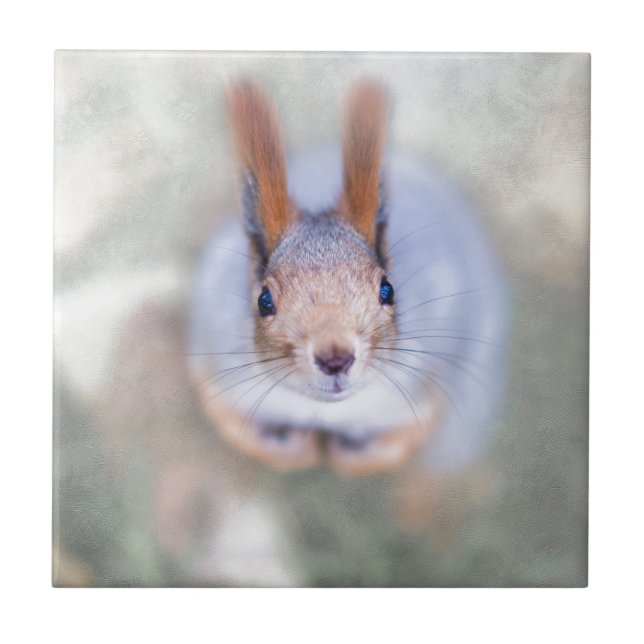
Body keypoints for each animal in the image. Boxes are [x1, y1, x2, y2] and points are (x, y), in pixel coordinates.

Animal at [189, 80, 507, 477]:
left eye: (387, 289)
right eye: (264, 300)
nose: (335, 358)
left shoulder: (429, 383)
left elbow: (401, 441)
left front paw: (347, 454)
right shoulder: (215, 369)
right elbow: (232, 424)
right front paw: (297, 448)